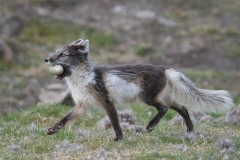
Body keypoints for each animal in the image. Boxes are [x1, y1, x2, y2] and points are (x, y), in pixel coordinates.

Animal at [44, 39, 233, 141]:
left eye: (63, 55)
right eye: (55, 52)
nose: (46, 59)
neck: (83, 78)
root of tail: (165, 68)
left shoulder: (107, 102)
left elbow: (115, 123)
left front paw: (119, 139)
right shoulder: (82, 106)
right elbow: (64, 119)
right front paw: (52, 130)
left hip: (147, 97)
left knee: (164, 109)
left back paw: (150, 126)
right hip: (162, 97)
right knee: (183, 108)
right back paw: (190, 131)